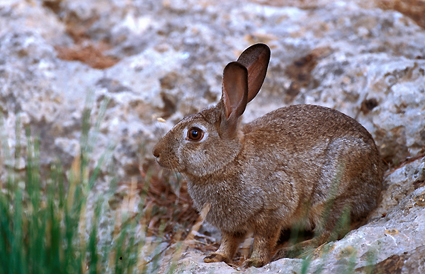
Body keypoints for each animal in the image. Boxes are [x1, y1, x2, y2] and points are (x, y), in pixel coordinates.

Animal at [153, 43, 384, 268]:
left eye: (194, 134)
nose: (156, 153)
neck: (230, 161)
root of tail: (377, 181)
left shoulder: (274, 209)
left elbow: (264, 238)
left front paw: (255, 261)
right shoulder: (231, 226)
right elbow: (229, 242)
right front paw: (216, 257)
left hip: (330, 194)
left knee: (330, 231)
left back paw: (293, 249)